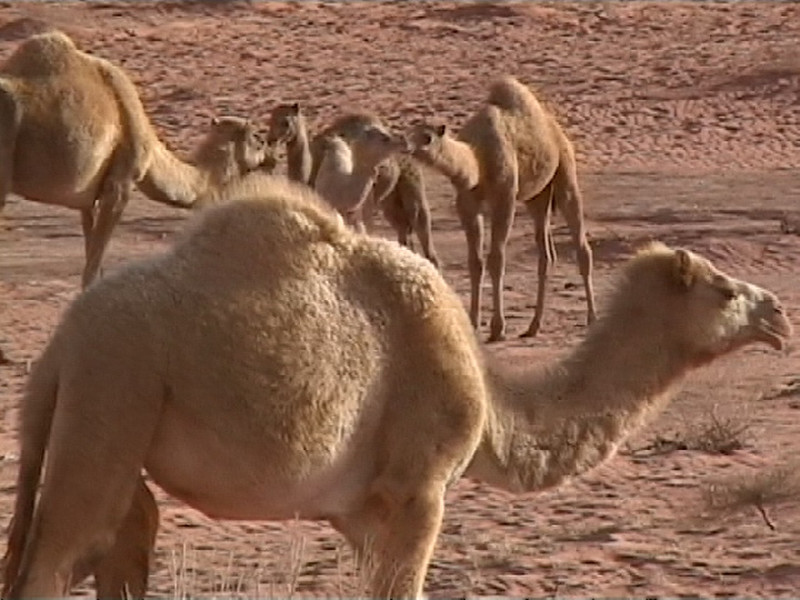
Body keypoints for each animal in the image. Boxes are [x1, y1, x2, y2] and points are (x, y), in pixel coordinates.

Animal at [0, 30, 268, 288]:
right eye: (257, 138)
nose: (267, 154)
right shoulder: (121, 182)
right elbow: (92, 270)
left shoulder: (87, 195)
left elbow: (91, 249)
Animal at [0, 175, 792, 600]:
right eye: (724, 289)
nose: (779, 314)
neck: (490, 400)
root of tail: (60, 349)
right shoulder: (420, 488)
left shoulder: (361, 512)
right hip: (114, 395)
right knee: (59, 555)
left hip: (108, 416)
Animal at [410, 74, 596, 342]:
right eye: (406, 134)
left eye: (426, 137)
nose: (406, 148)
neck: (477, 161)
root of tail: (555, 128)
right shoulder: (466, 203)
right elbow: (475, 261)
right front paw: (473, 322)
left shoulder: (504, 199)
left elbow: (496, 259)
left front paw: (498, 328)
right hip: (538, 196)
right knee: (546, 254)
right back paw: (533, 327)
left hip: (564, 169)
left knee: (581, 245)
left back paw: (592, 318)